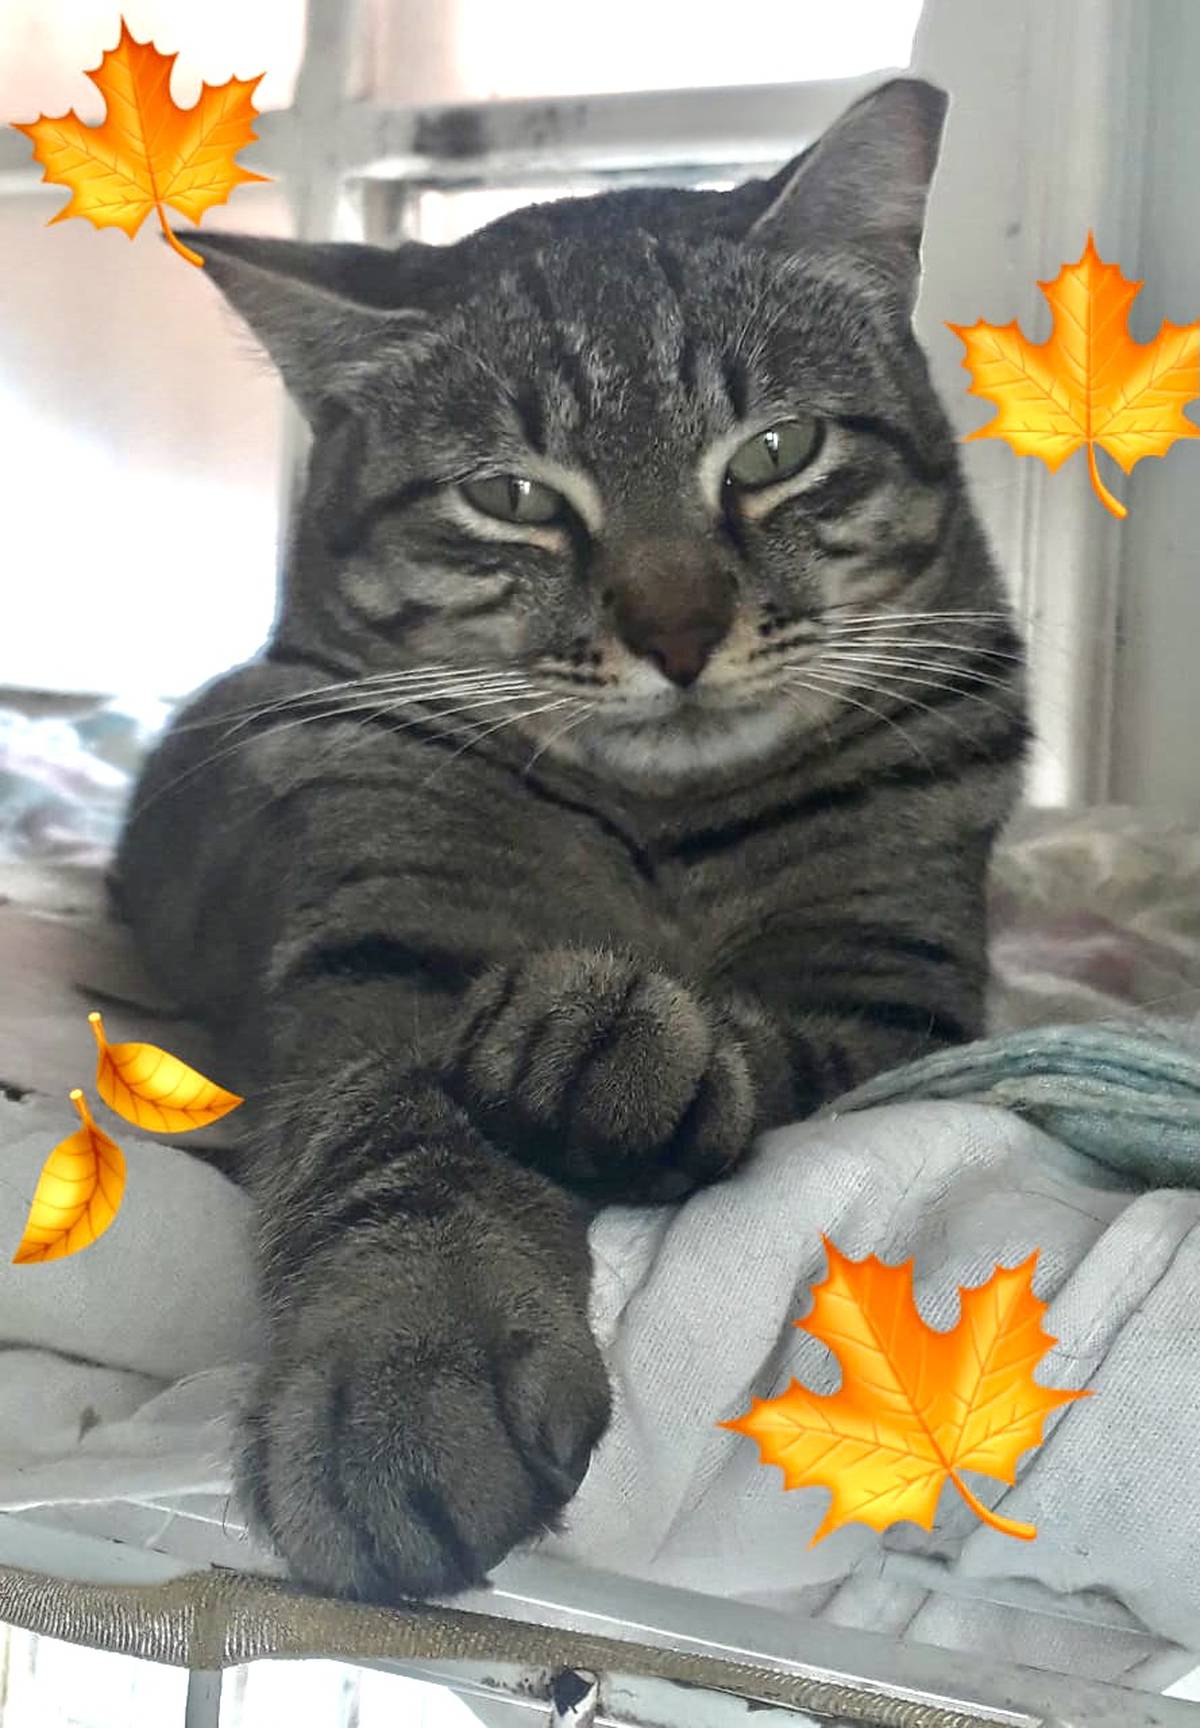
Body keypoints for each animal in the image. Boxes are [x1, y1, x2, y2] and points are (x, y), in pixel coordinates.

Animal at [112, 76, 1029, 1604]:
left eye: (776, 453)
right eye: (514, 497)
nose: (680, 633)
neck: (665, 837)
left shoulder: (904, 1002)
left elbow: (791, 1056)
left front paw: (628, 1046)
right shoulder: (376, 960)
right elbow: (396, 1148)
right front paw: (407, 1369)